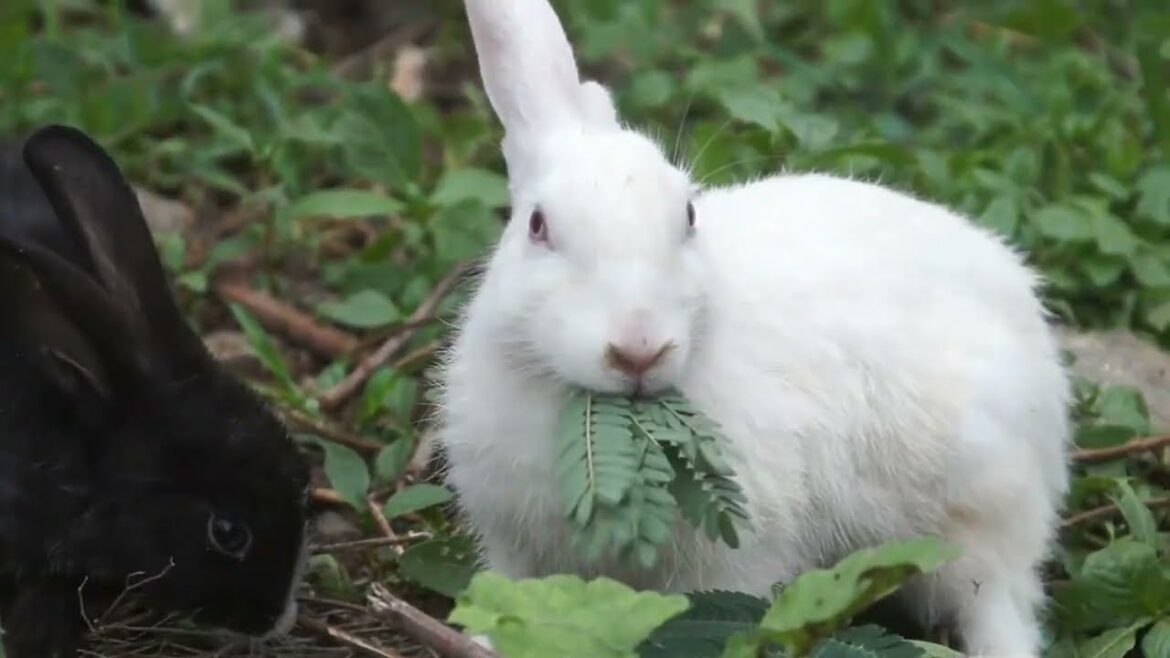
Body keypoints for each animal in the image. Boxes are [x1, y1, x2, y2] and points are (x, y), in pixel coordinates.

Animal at [434, 1, 1072, 657]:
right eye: (537, 226)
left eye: (688, 216)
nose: (639, 350)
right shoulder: (514, 547)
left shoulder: (737, 553)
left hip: (974, 517)